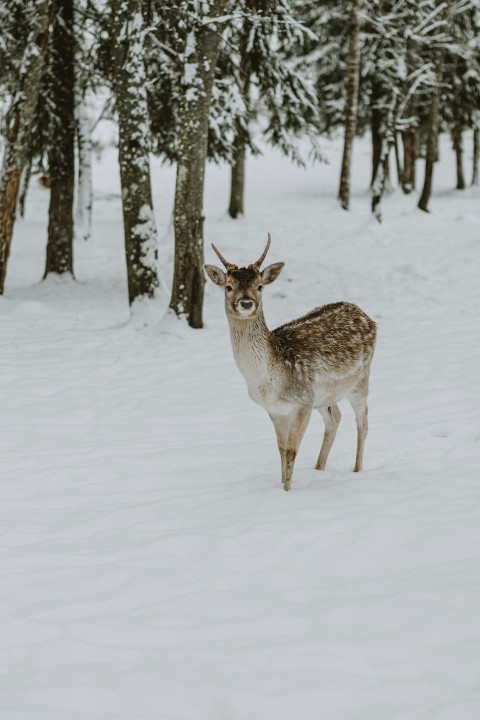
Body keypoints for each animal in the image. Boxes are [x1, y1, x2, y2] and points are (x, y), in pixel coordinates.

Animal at [204, 234, 377, 491]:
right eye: (228, 286)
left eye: (260, 286)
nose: (246, 303)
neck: (268, 381)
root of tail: (366, 315)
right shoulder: (275, 409)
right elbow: (281, 450)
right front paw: (280, 486)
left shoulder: (302, 401)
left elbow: (292, 451)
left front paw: (287, 491)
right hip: (324, 396)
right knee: (335, 418)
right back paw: (319, 468)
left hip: (360, 379)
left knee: (363, 420)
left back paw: (357, 470)